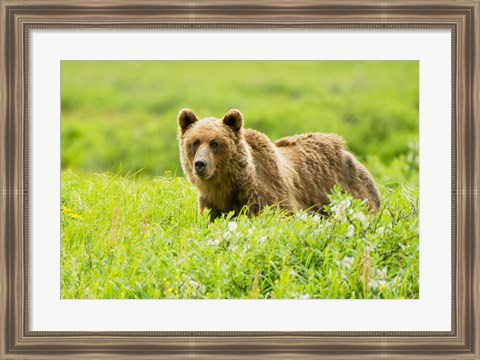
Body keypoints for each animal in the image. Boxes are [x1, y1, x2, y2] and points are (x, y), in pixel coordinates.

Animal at [178, 107, 380, 219]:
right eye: (195, 142)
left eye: (215, 143)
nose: (200, 164)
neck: (228, 185)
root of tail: (348, 153)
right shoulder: (212, 203)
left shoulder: (266, 193)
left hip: (349, 192)